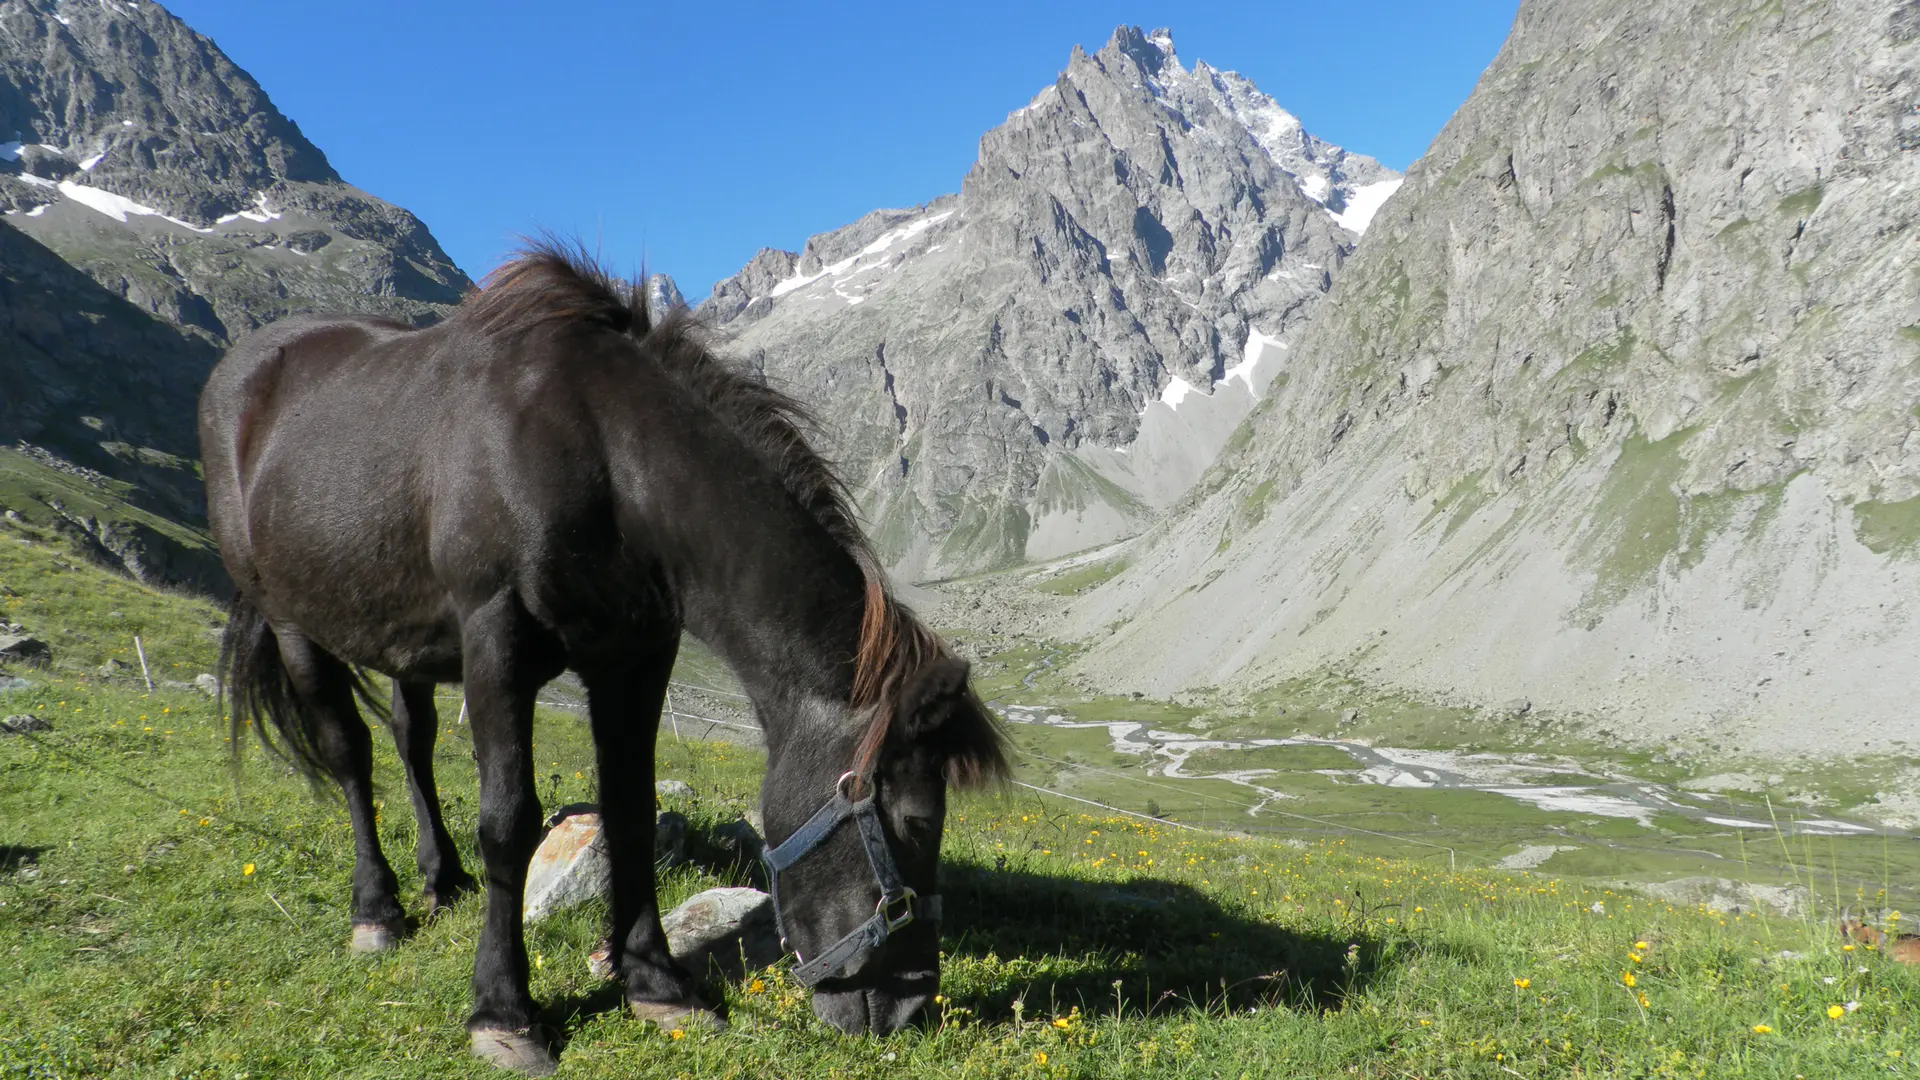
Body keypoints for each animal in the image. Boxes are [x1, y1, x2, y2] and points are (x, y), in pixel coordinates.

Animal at [198, 242, 1006, 1068]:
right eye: (917, 821)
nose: (910, 1006)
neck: (601, 458)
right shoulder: (496, 640)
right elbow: (508, 823)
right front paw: (503, 1011)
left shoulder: (635, 656)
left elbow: (630, 807)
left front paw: (655, 982)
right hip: (293, 622)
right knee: (350, 754)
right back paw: (377, 909)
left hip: (405, 639)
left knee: (411, 741)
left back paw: (440, 876)